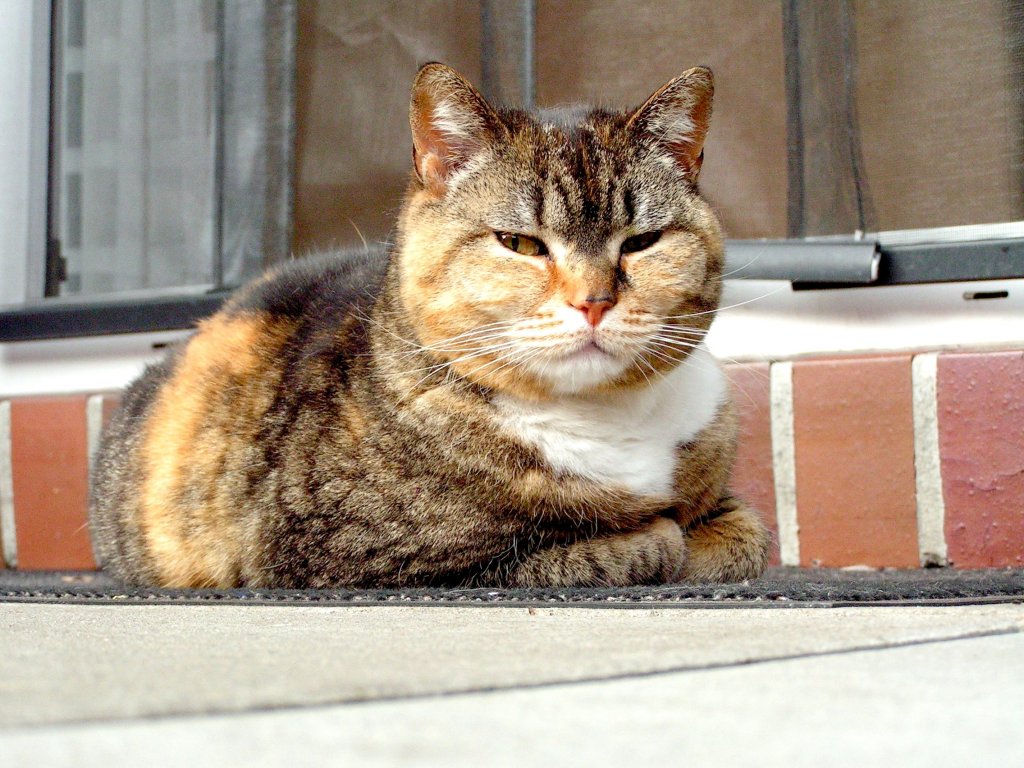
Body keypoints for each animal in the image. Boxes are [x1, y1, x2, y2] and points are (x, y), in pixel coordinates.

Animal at [90, 61, 770, 589]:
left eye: (642, 242)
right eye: (520, 243)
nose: (595, 301)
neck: (605, 418)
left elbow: (745, 537)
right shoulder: (350, 554)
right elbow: (619, 546)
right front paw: (656, 534)